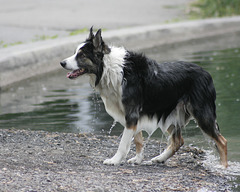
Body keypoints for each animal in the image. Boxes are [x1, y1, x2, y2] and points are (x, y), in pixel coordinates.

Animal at [59, 27, 227, 167]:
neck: (108, 69)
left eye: (81, 55)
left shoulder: (131, 114)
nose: (61, 63)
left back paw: (223, 168)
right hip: (170, 113)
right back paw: (160, 158)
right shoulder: (131, 115)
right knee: (178, 141)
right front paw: (138, 159)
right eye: (75, 53)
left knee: (222, 141)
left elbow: (124, 143)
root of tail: (207, 74)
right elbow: (138, 139)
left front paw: (115, 160)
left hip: (201, 113)